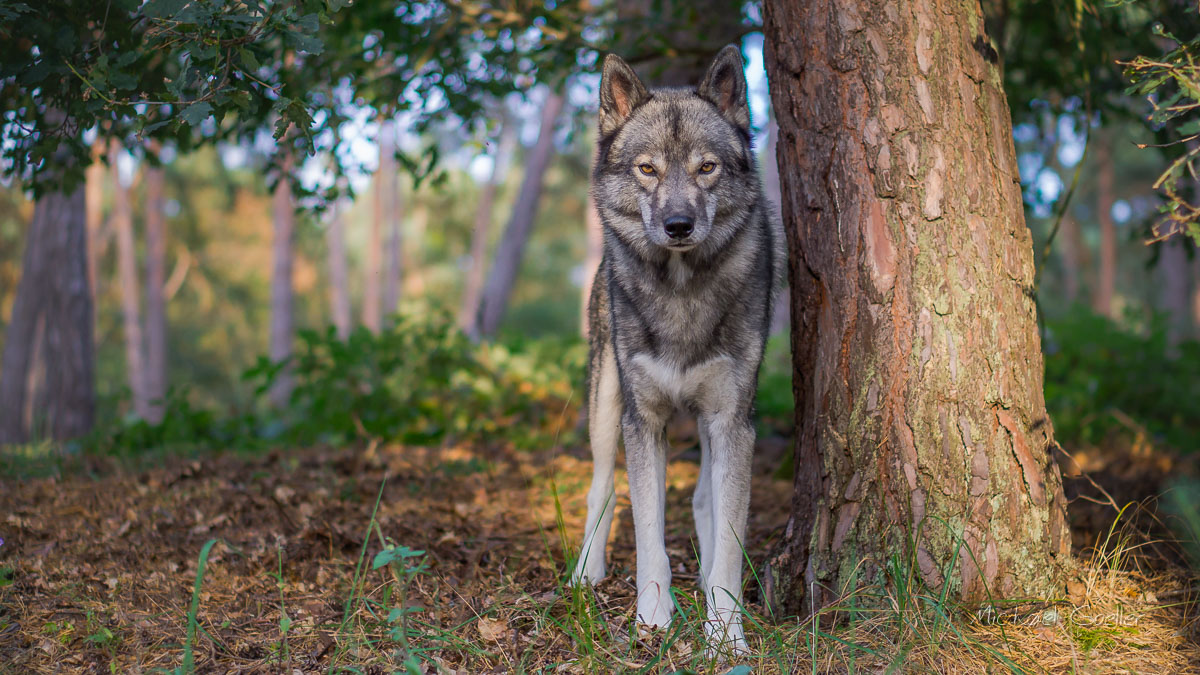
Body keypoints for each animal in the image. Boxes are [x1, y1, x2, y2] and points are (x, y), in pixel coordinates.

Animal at [571, 45, 787, 653]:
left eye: (705, 168)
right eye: (647, 169)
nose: (678, 224)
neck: (682, 291)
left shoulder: (733, 420)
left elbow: (729, 539)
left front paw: (725, 632)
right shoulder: (643, 421)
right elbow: (648, 535)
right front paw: (653, 619)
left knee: (702, 502)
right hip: (605, 404)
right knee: (602, 488)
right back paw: (586, 574)